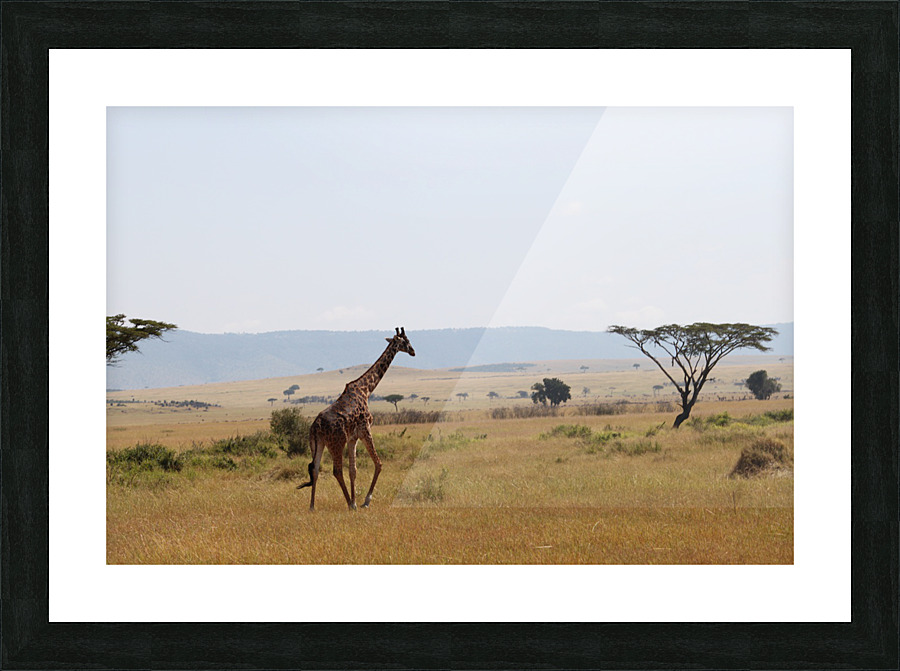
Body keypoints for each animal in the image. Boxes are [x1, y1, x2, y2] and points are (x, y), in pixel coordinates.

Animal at [297, 327, 415, 511]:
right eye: (406, 341)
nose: (413, 351)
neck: (366, 389)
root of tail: (316, 426)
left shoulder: (353, 438)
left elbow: (353, 470)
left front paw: (354, 500)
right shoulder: (365, 429)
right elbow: (378, 463)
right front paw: (364, 501)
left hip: (318, 443)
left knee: (315, 469)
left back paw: (312, 506)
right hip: (336, 443)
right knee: (336, 470)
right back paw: (347, 504)